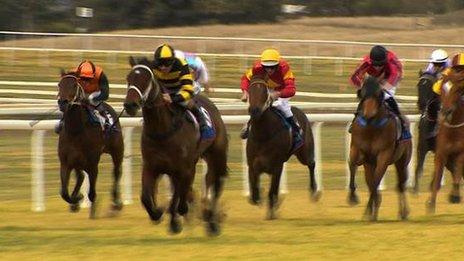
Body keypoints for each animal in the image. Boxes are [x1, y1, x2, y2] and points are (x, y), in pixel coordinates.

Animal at [56, 69, 125, 217]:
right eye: (59, 84)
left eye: (74, 85)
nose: (63, 103)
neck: (75, 131)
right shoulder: (66, 162)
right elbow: (64, 193)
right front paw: (76, 200)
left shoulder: (93, 163)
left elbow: (92, 193)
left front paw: (93, 212)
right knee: (81, 176)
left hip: (117, 151)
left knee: (116, 172)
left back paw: (116, 204)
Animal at [123, 55, 228, 235]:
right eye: (129, 78)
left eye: (146, 79)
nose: (130, 105)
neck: (162, 131)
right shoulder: (151, 166)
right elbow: (146, 197)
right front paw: (158, 213)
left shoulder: (184, 168)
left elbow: (180, 197)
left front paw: (176, 217)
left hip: (217, 156)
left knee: (216, 183)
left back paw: (212, 221)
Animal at [245, 74, 318, 218]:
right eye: (250, 90)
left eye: (264, 91)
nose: (254, 111)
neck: (263, 135)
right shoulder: (253, 165)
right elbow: (254, 193)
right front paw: (261, 197)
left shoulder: (276, 165)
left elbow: (271, 191)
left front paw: (272, 212)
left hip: (304, 153)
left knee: (311, 164)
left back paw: (313, 191)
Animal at [348, 76, 410, 220]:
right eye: (363, 94)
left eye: (379, 94)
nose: (368, 114)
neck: (371, 127)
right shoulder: (357, 150)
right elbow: (353, 167)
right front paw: (353, 197)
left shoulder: (384, 154)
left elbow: (376, 182)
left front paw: (369, 211)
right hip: (370, 164)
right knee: (371, 182)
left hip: (402, 160)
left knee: (400, 184)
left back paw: (403, 212)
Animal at [426, 81, 464, 213]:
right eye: (442, 90)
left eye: (458, 90)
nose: (446, 112)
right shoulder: (441, 153)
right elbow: (438, 176)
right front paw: (430, 204)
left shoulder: (461, 153)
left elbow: (458, 172)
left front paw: (454, 197)